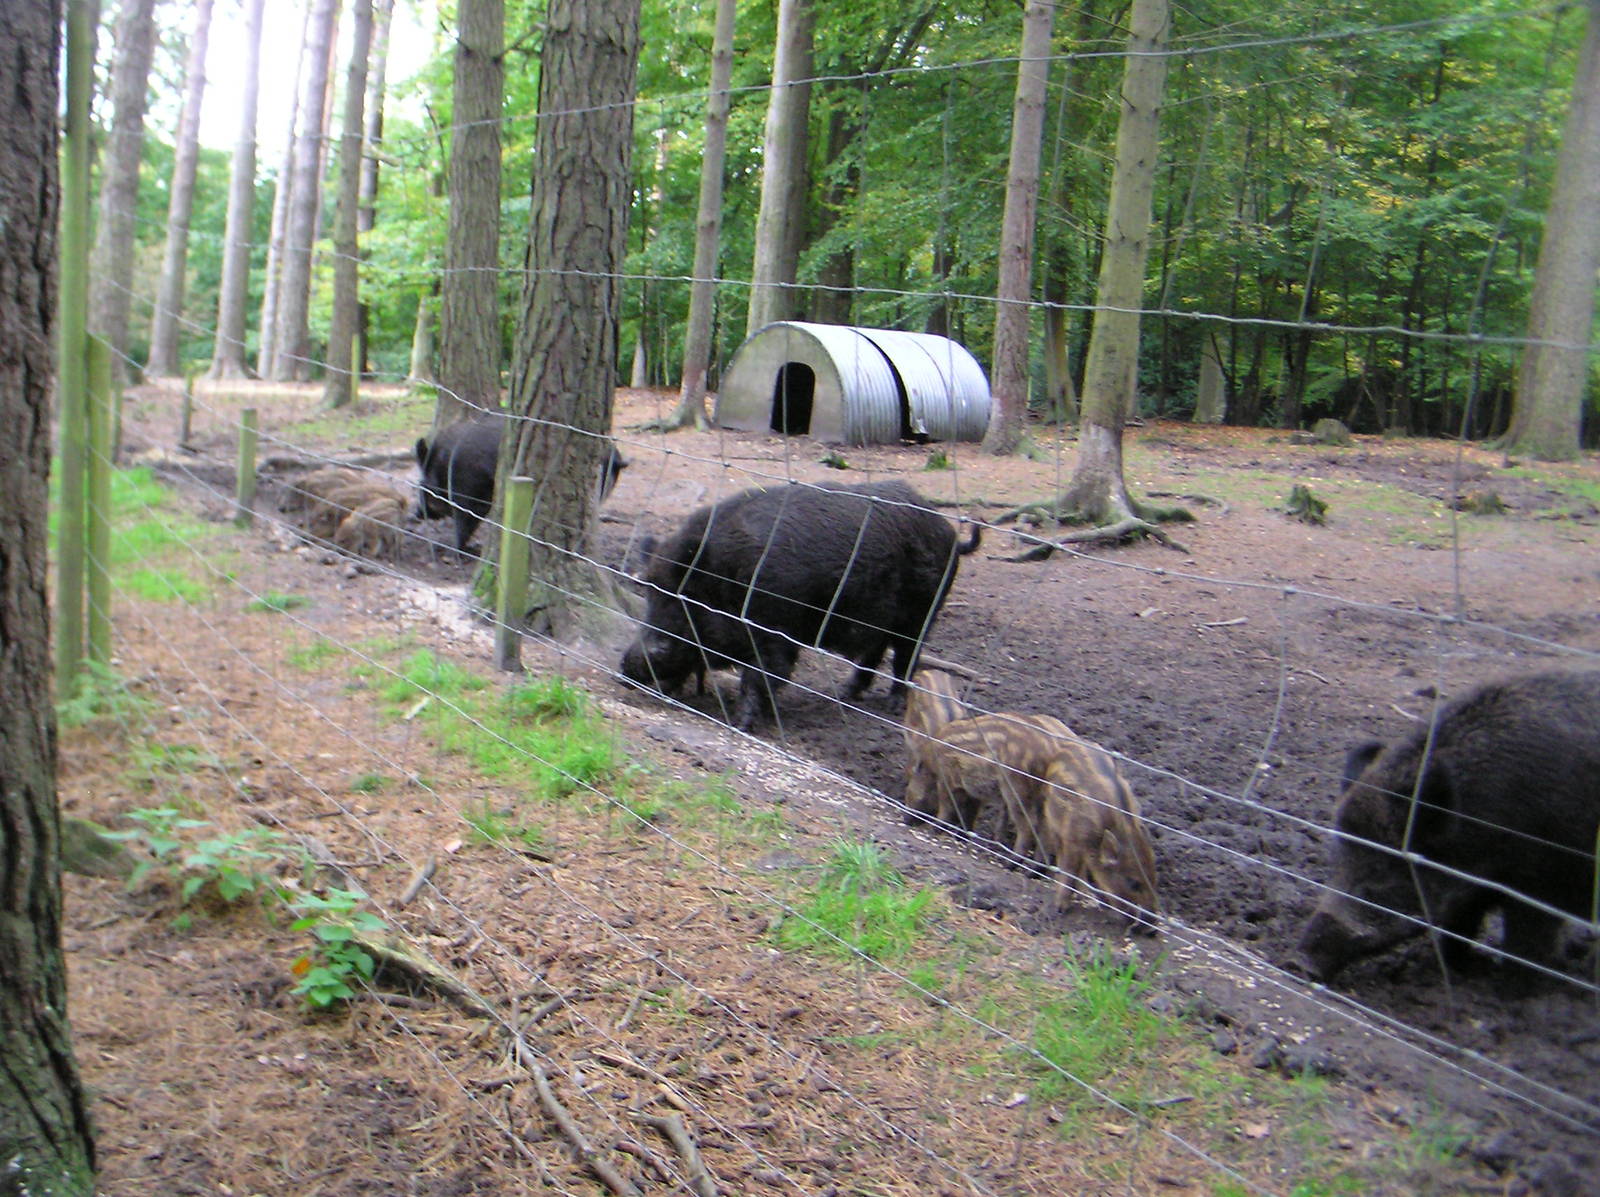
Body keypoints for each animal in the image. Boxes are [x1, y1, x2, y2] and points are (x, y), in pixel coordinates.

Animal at [414, 417, 628, 552]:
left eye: (422, 484)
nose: (415, 514)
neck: (444, 465)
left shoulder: (468, 488)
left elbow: (465, 518)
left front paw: (457, 550)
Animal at [619, 480, 981, 730]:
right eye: (651, 599)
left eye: (681, 604)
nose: (625, 670)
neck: (731, 582)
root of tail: (949, 533)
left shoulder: (775, 629)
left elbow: (763, 675)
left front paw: (742, 724)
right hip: (881, 617)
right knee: (873, 652)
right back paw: (845, 694)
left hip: (921, 614)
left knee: (906, 657)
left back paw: (891, 705)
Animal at [1298, 670, 1600, 982]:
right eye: (1336, 866)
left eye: (1380, 877)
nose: (1301, 963)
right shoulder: (1473, 888)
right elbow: (1458, 926)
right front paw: (1455, 969)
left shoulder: (1542, 884)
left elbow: (1527, 946)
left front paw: (1508, 988)